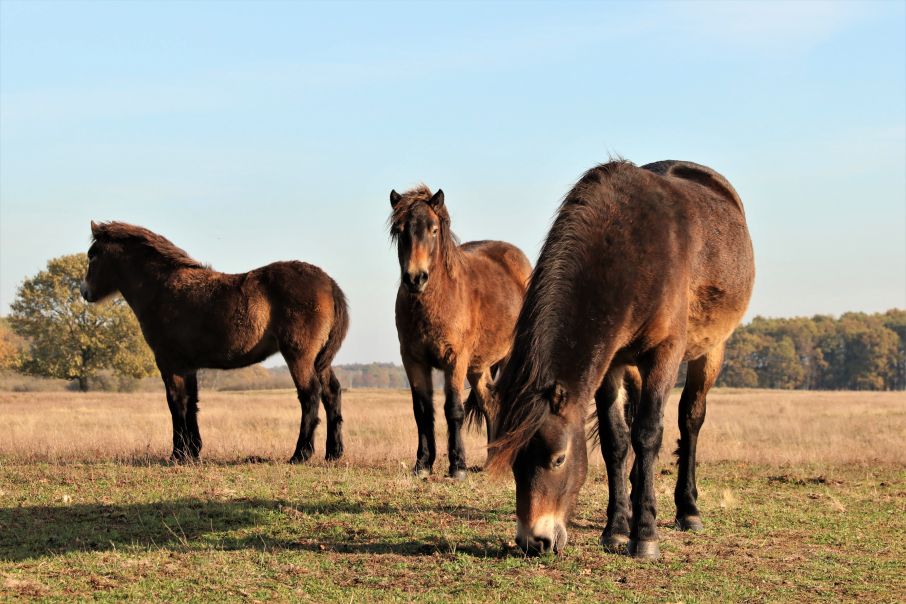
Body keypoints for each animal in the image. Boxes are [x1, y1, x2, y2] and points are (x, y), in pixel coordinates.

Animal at [79, 222, 348, 462]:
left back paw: (300, 454)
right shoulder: (187, 366)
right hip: (319, 360)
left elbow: (176, 403)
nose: (84, 291)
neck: (162, 289)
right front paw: (193, 451)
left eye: (92, 255)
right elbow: (191, 402)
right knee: (331, 393)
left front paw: (178, 454)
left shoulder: (169, 362)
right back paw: (333, 453)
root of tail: (329, 283)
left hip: (299, 356)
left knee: (310, 395)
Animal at [386, 186, 528, 478]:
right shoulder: (413, 360)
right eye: (400, 230)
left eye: (433, 230)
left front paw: (457, 466)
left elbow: (453, 409)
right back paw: (491, 461)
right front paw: (422, 464)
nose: (415, 278)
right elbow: (422, 411)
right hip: (478, 367)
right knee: (490, 403)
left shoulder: (455, 359)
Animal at [488, 158, 756, 560]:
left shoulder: (664, 355)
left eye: (558, 459)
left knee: (690, 420)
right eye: (515, 463)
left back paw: (687, 510)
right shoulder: (611, 363)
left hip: (710, 350)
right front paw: (616, 529)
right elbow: (616, 440)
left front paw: (644, 536)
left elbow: (647, 434)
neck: (632, 251)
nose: (535, 542)